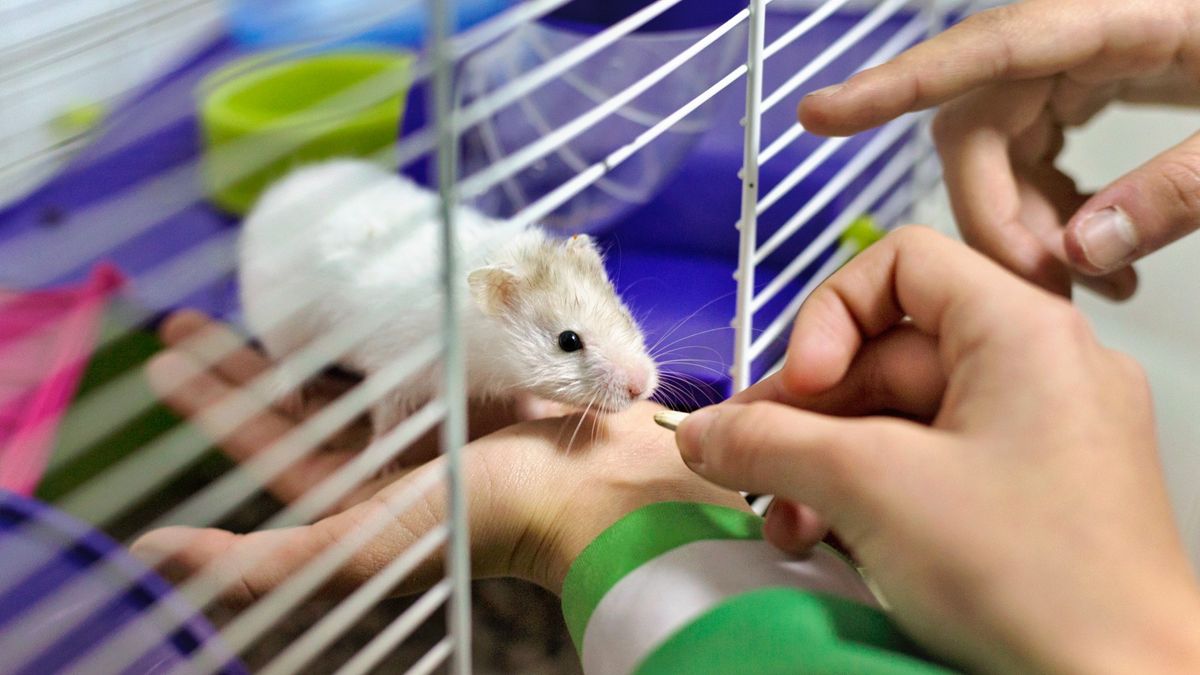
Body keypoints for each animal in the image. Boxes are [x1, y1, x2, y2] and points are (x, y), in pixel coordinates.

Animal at [237, 158, 662, 432]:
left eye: (625, 314)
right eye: (568, 341)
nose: (643, 387)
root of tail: (275, 193)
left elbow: (524, 399)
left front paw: (539, 410)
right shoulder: (395, 372)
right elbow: (386, 422)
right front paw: (383, 466)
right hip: (283, 324)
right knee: (288, 361)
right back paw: (288, 396)